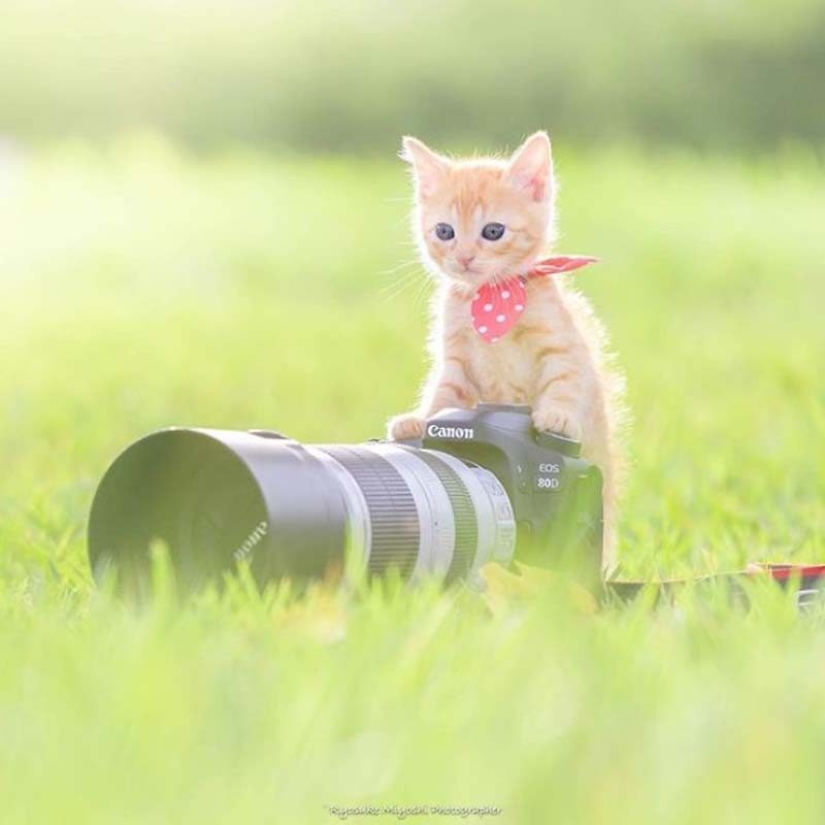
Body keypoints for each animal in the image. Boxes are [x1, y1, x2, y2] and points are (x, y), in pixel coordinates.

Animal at [386, 132, 624, 568]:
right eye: (444, 231)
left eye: (493, 231)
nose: (464, 257)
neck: (493, 298)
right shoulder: (456, 360)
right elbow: (443, 395)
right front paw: (419, 421)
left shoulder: (562, 346)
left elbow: (565, 381)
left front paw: (558, 418)